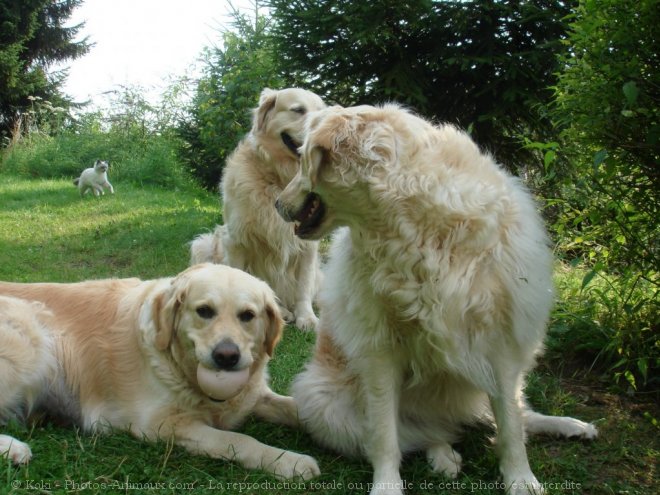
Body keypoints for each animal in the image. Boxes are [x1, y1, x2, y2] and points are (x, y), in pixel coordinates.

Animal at [0, 266, 320, 482]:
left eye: (248, 316)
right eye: (204, 311)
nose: (227, 356)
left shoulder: (255, 396)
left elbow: (297, 407)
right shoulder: (160, 424)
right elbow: (241, 440)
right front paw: (288, 461)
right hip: (30, 342)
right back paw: (13, 448)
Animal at [189, 87, 326, 332]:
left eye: (323, 112)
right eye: (298, 110)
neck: (281, 179)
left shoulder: (308, 244)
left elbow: (304, 285)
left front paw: (306, 317)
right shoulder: (236, 239)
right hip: (202, 245)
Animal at [274, 104, 600, 495]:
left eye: (303, 159)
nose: (276, 203)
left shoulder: (502, 344)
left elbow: (510, 426)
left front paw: (521, 479)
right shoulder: (378, 347)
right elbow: (384, 437)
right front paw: (387, 486)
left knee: (517, 416)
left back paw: (572, 426)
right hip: (321, 400)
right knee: (424, 433)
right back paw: (444, 457)